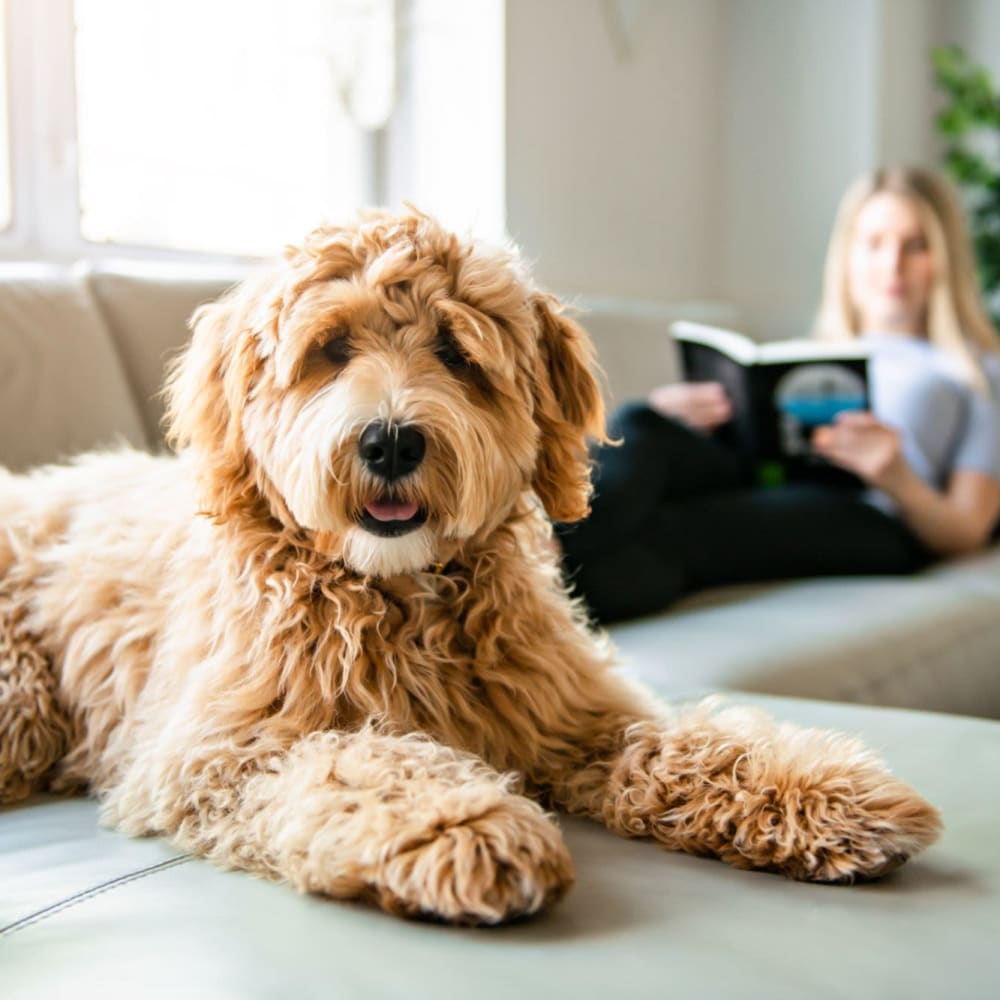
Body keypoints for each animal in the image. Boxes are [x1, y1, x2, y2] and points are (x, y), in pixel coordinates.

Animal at [0, 211, 940, 920]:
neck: (398, 594)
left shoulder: (573, 712)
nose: (389, 441)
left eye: (455, 353)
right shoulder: (216, 754)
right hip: (24, 703)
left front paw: (823, 792)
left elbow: (687, 741)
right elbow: (356, 762)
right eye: (332, 349)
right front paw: (462, 825)